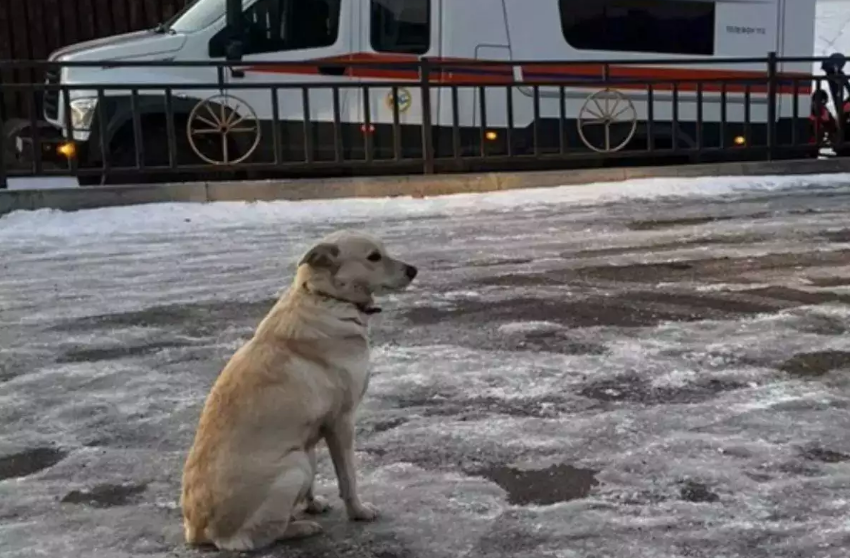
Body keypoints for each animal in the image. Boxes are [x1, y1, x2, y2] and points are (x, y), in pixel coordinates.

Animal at [180, 230, 418, 552]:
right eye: (373, 257)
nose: (413, 270)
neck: (326, 298)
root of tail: (198, 531)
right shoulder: (342, 421)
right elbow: (348, 477)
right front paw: (358, 511)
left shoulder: (311, 432)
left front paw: (312, 503)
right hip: (294, 467)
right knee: (251, 538)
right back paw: (300, 528)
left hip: (300, 458)